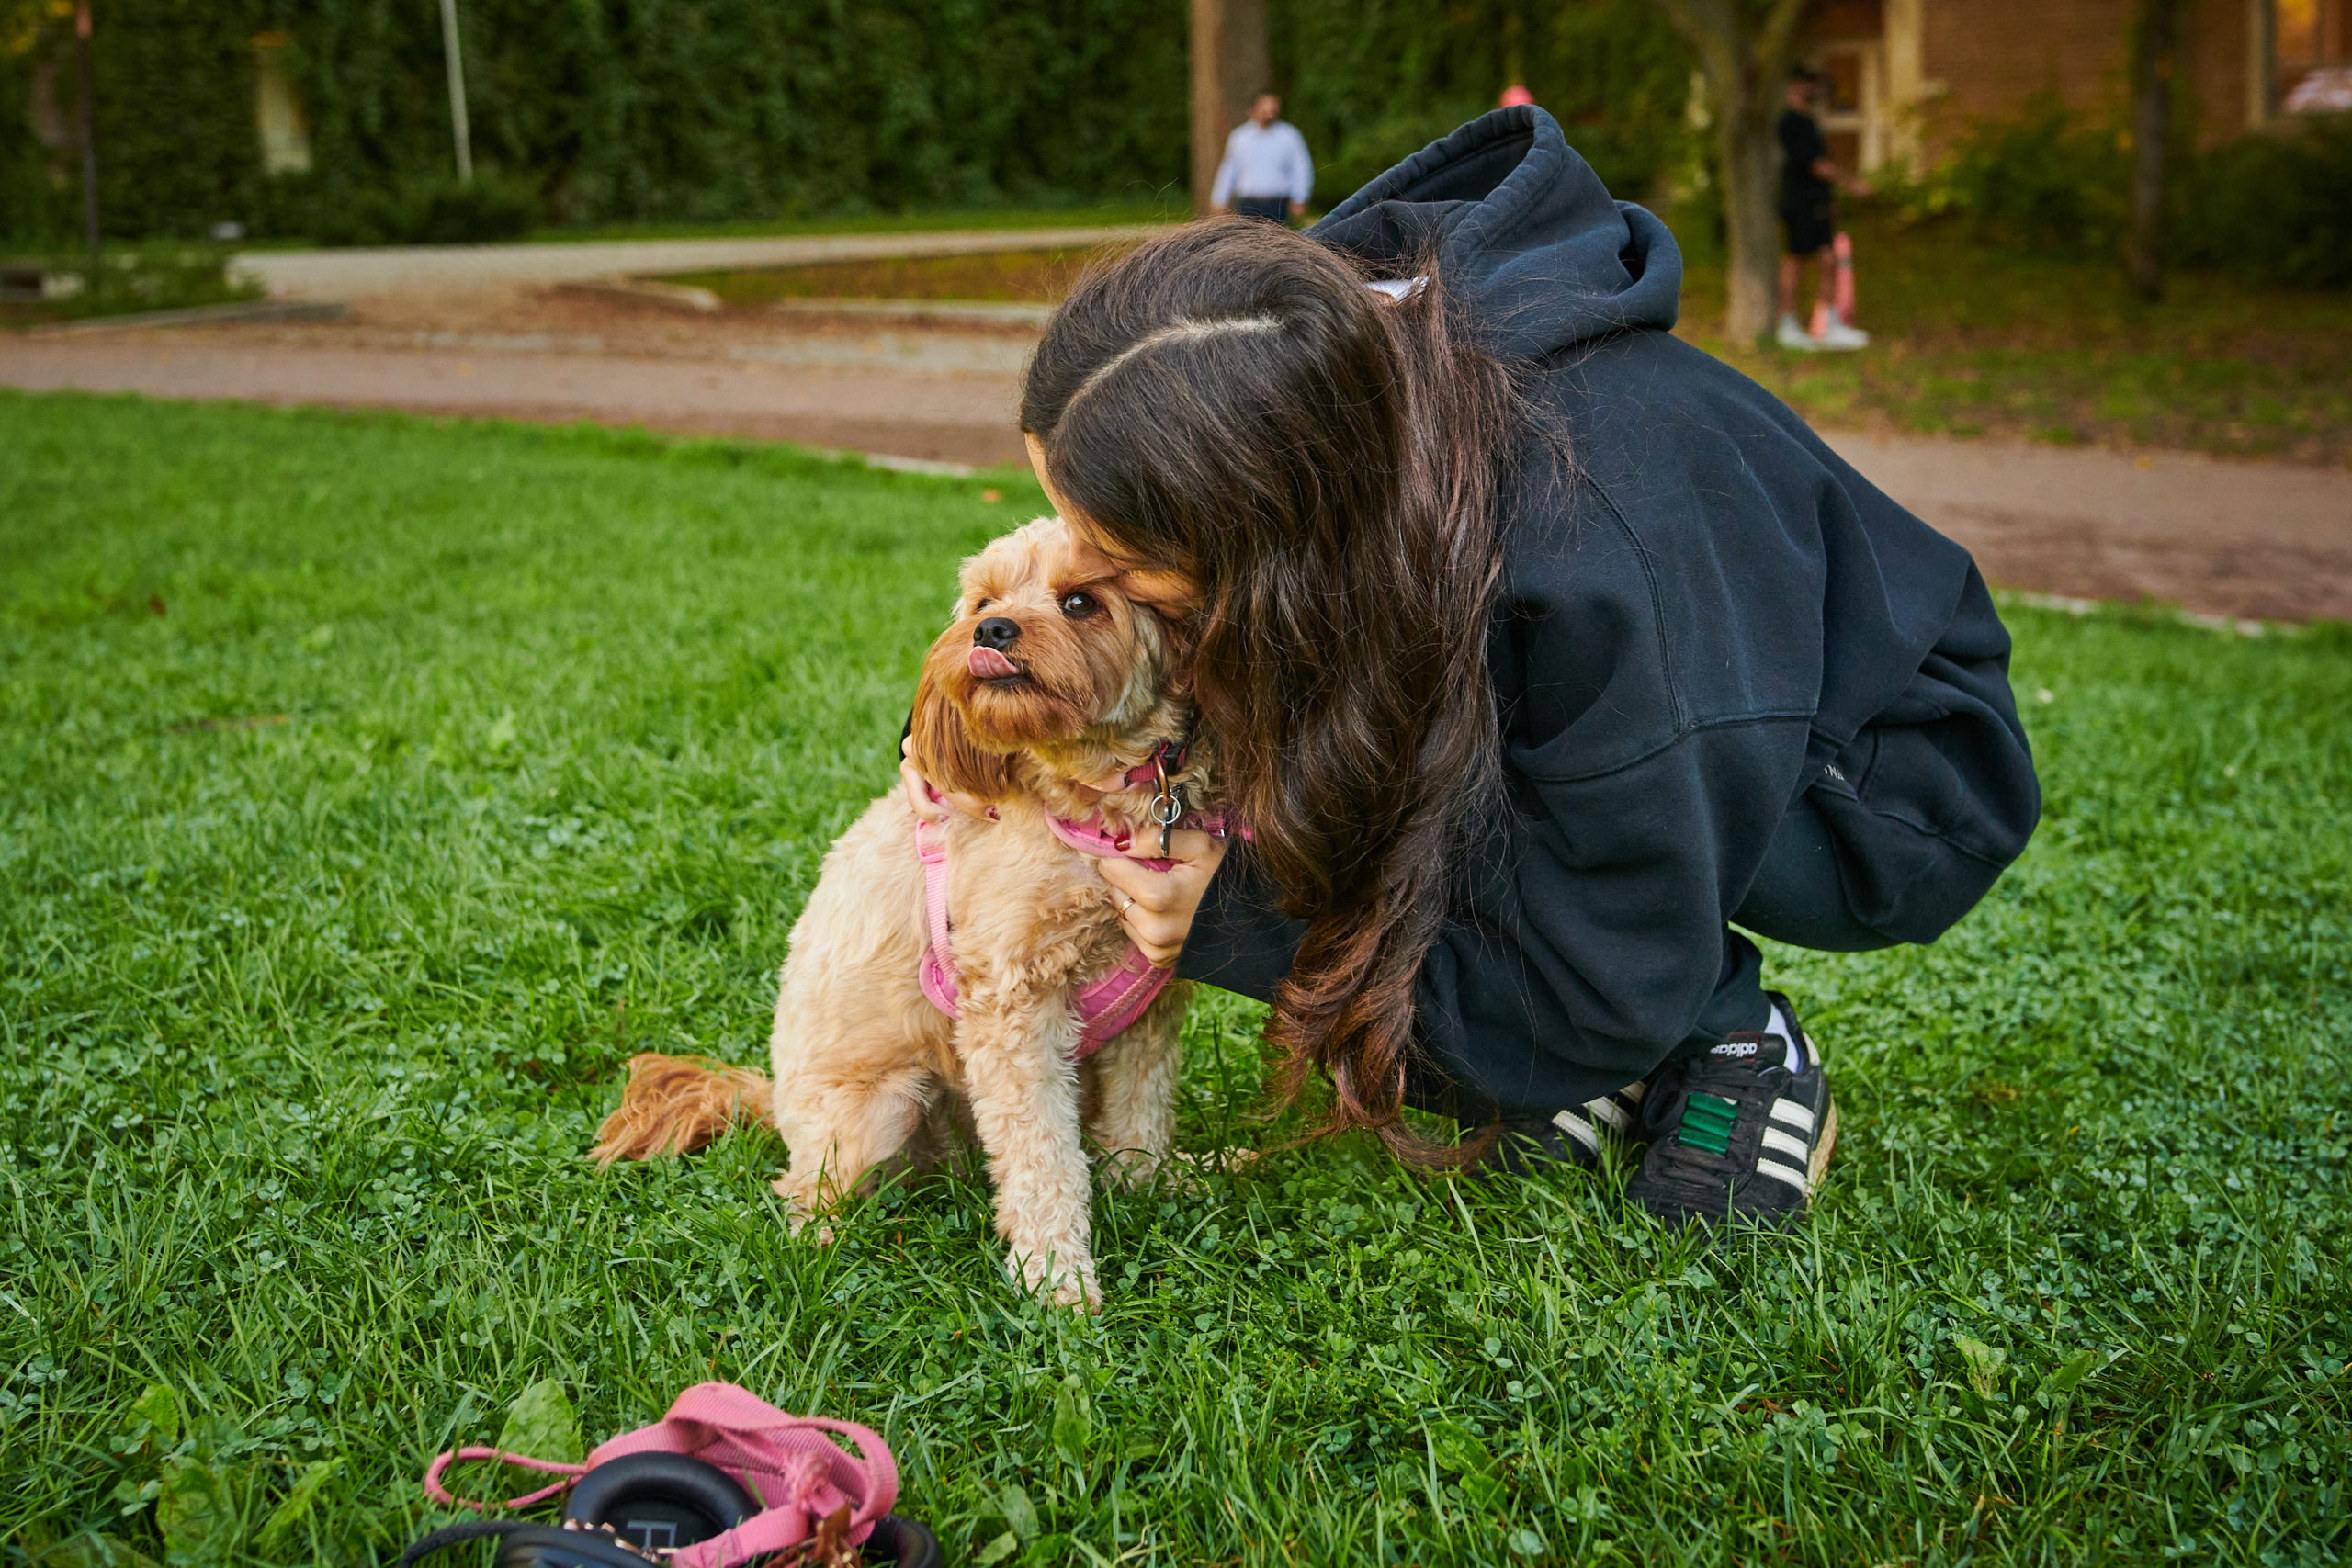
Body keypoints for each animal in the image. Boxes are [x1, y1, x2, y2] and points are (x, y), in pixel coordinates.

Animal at [593, 517, 1213, 1316]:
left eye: (1082, 601)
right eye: (983, 600)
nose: (992, 629)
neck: (1091, 800)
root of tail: (775, 1098)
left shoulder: (1150, 1007)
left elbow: (1142, 1111)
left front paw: (1148, 1184)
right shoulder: (1012, 1005)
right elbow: (1041, 1155)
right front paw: (1056, 1278)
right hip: (883, 1106)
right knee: (803, 1189)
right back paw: (826, 1244)